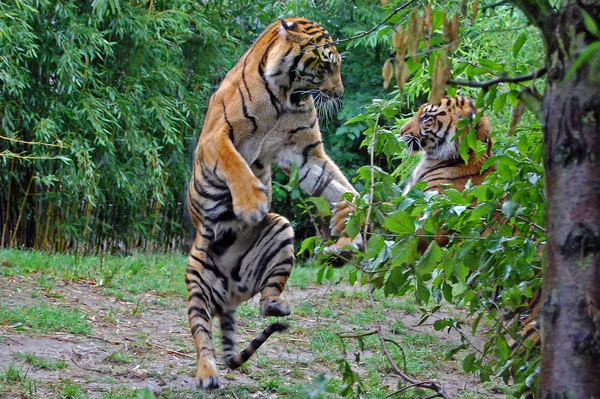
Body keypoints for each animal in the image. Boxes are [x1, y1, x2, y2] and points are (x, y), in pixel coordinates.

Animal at [185, 18, 358, 390]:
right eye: (326, 65)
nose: (339, 94)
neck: (284, 97)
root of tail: (229, 296)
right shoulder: (217, 136)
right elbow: (234, 162)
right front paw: (252, 203)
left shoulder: (304, 152)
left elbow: (338, 184)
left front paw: (351, 217)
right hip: (197, 283)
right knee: (202, 336)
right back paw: (207, 374)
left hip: (280, 230)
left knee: (266, 301)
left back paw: (278, 305)